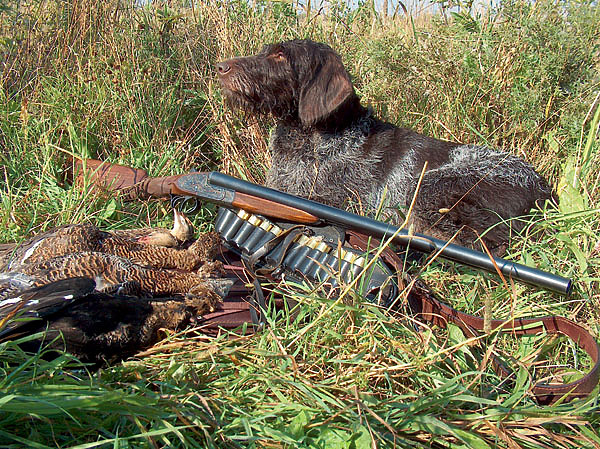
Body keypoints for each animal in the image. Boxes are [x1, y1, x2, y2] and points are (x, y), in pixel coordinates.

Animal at [217, 39, 552, 252]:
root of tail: (543, 188)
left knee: (486, 240)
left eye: (281, 56)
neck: (314, 140)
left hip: (430, 184)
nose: (221, 67)